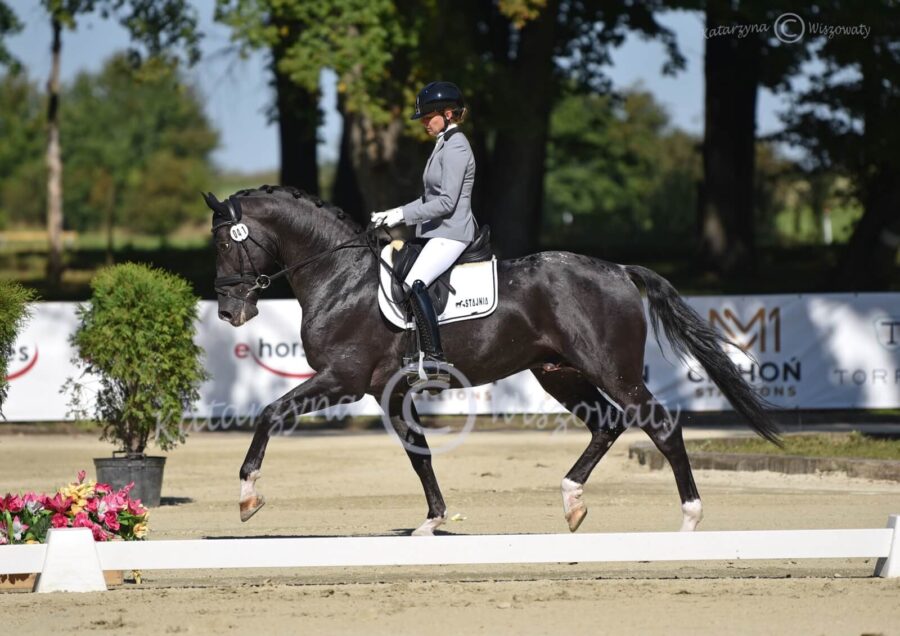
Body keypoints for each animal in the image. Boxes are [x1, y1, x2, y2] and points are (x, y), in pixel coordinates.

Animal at [202, 188, 772, 536]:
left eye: (226, 242)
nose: (230, 311)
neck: (340, 279)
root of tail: (618, 270)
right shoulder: (390, 390)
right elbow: (419, 453)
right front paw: (432, 522)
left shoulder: (343, 378)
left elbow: (270, 413)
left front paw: (248, 496)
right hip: (559, 373)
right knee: (607, 424)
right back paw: (572, 501)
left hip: (612, 370)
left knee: (660, 425)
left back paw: (689, 519)